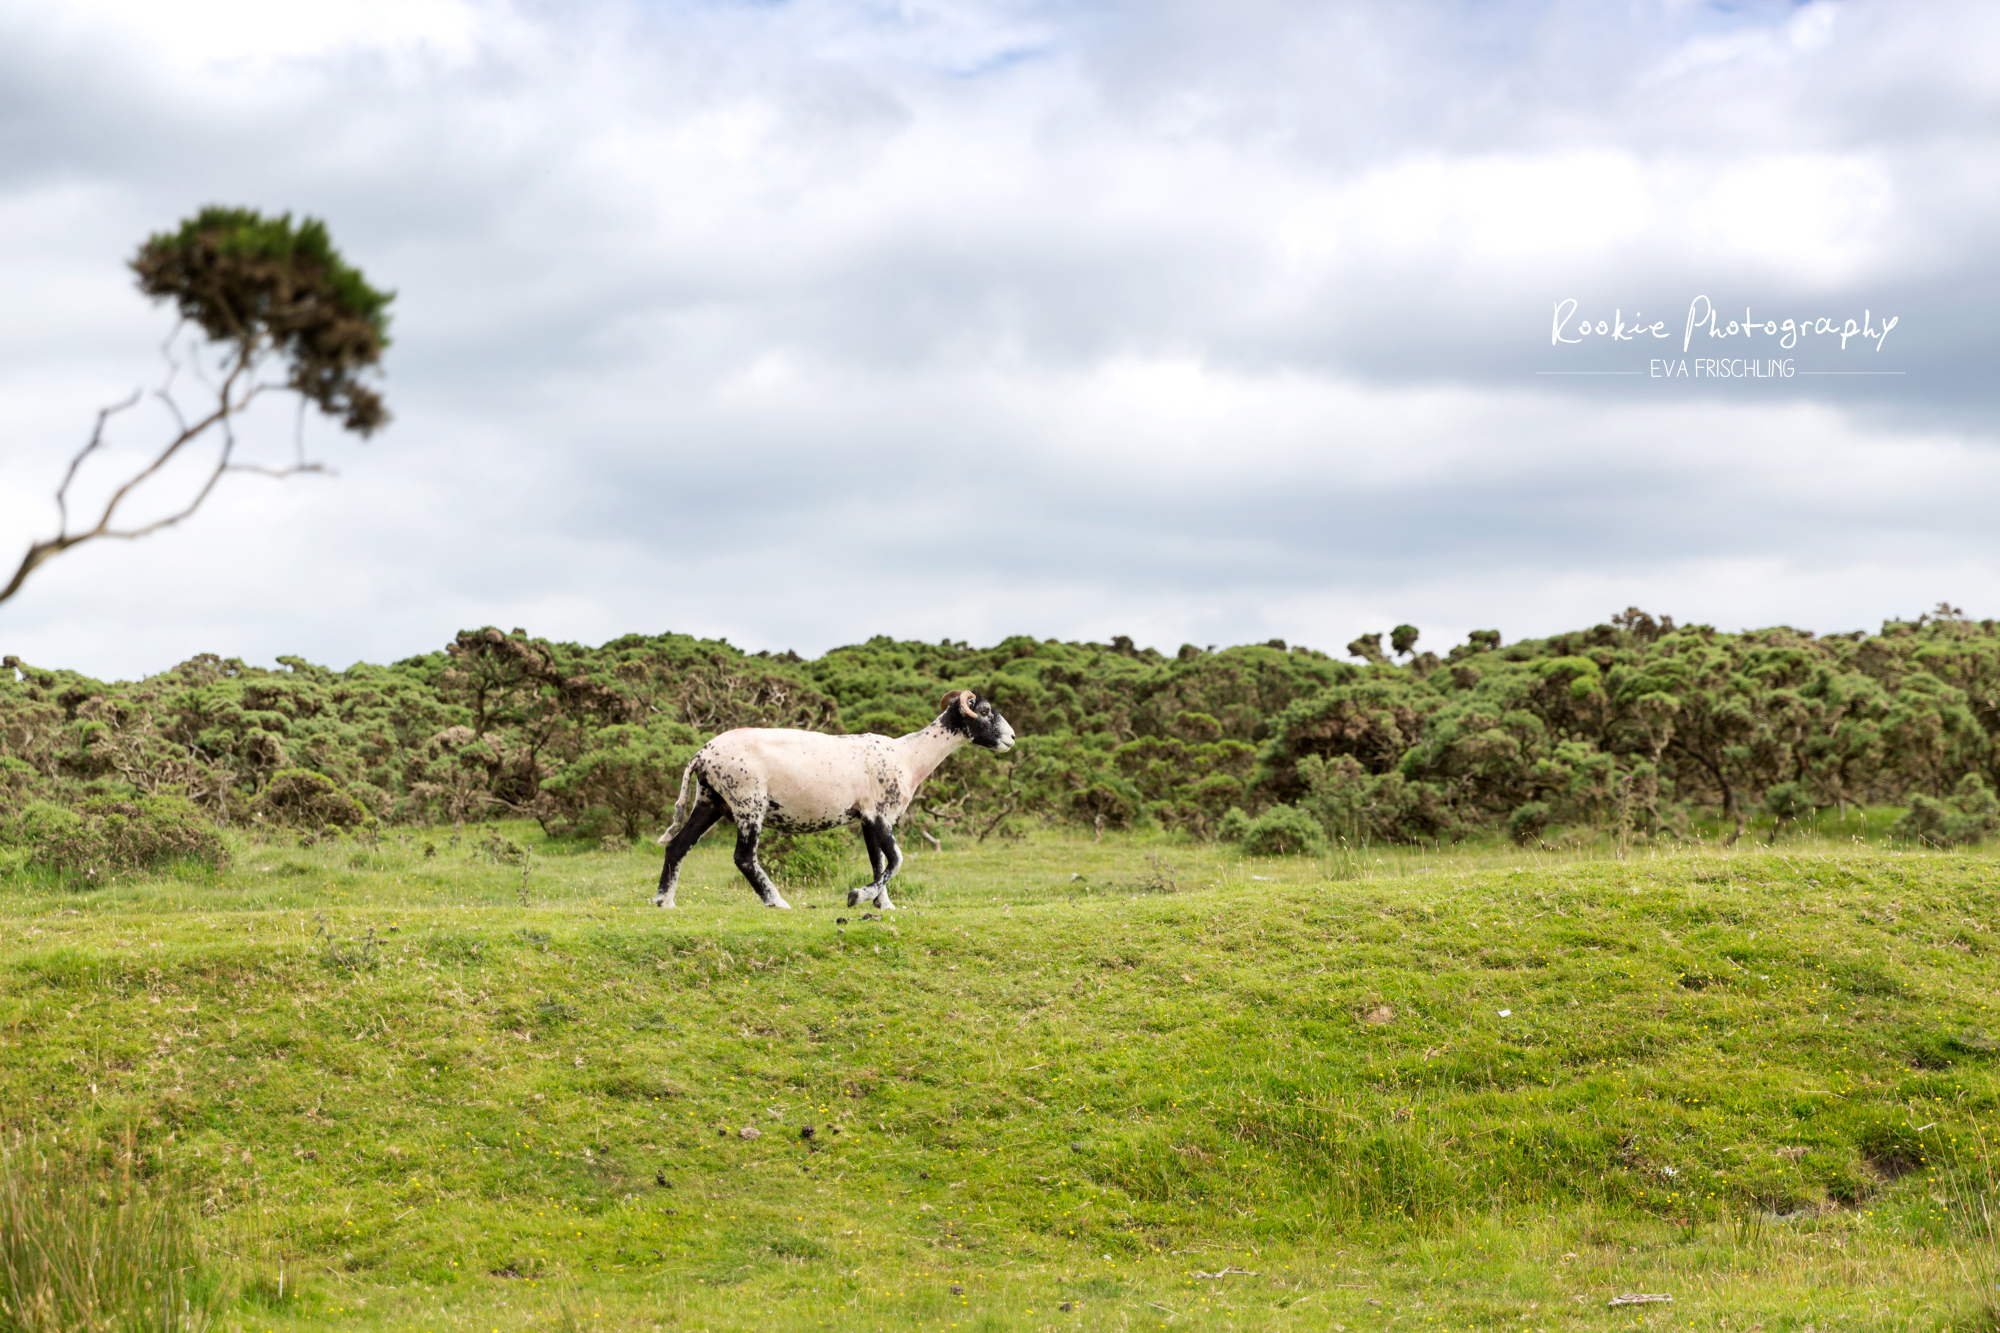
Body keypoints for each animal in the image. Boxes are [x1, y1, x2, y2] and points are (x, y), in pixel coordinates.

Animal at [652, 689, 1015, 910]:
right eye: (984, 711)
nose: (1012, 737)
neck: (910, 756)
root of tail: (701, 755)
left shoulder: (868, 817)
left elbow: (879, 861)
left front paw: (883, 905)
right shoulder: (879, 813)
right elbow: (896, 859)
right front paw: (858, 895)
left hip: (711, 799)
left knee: (678, 845)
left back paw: (663, 901)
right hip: (747, 801)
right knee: (743, 857)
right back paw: (776, 902)